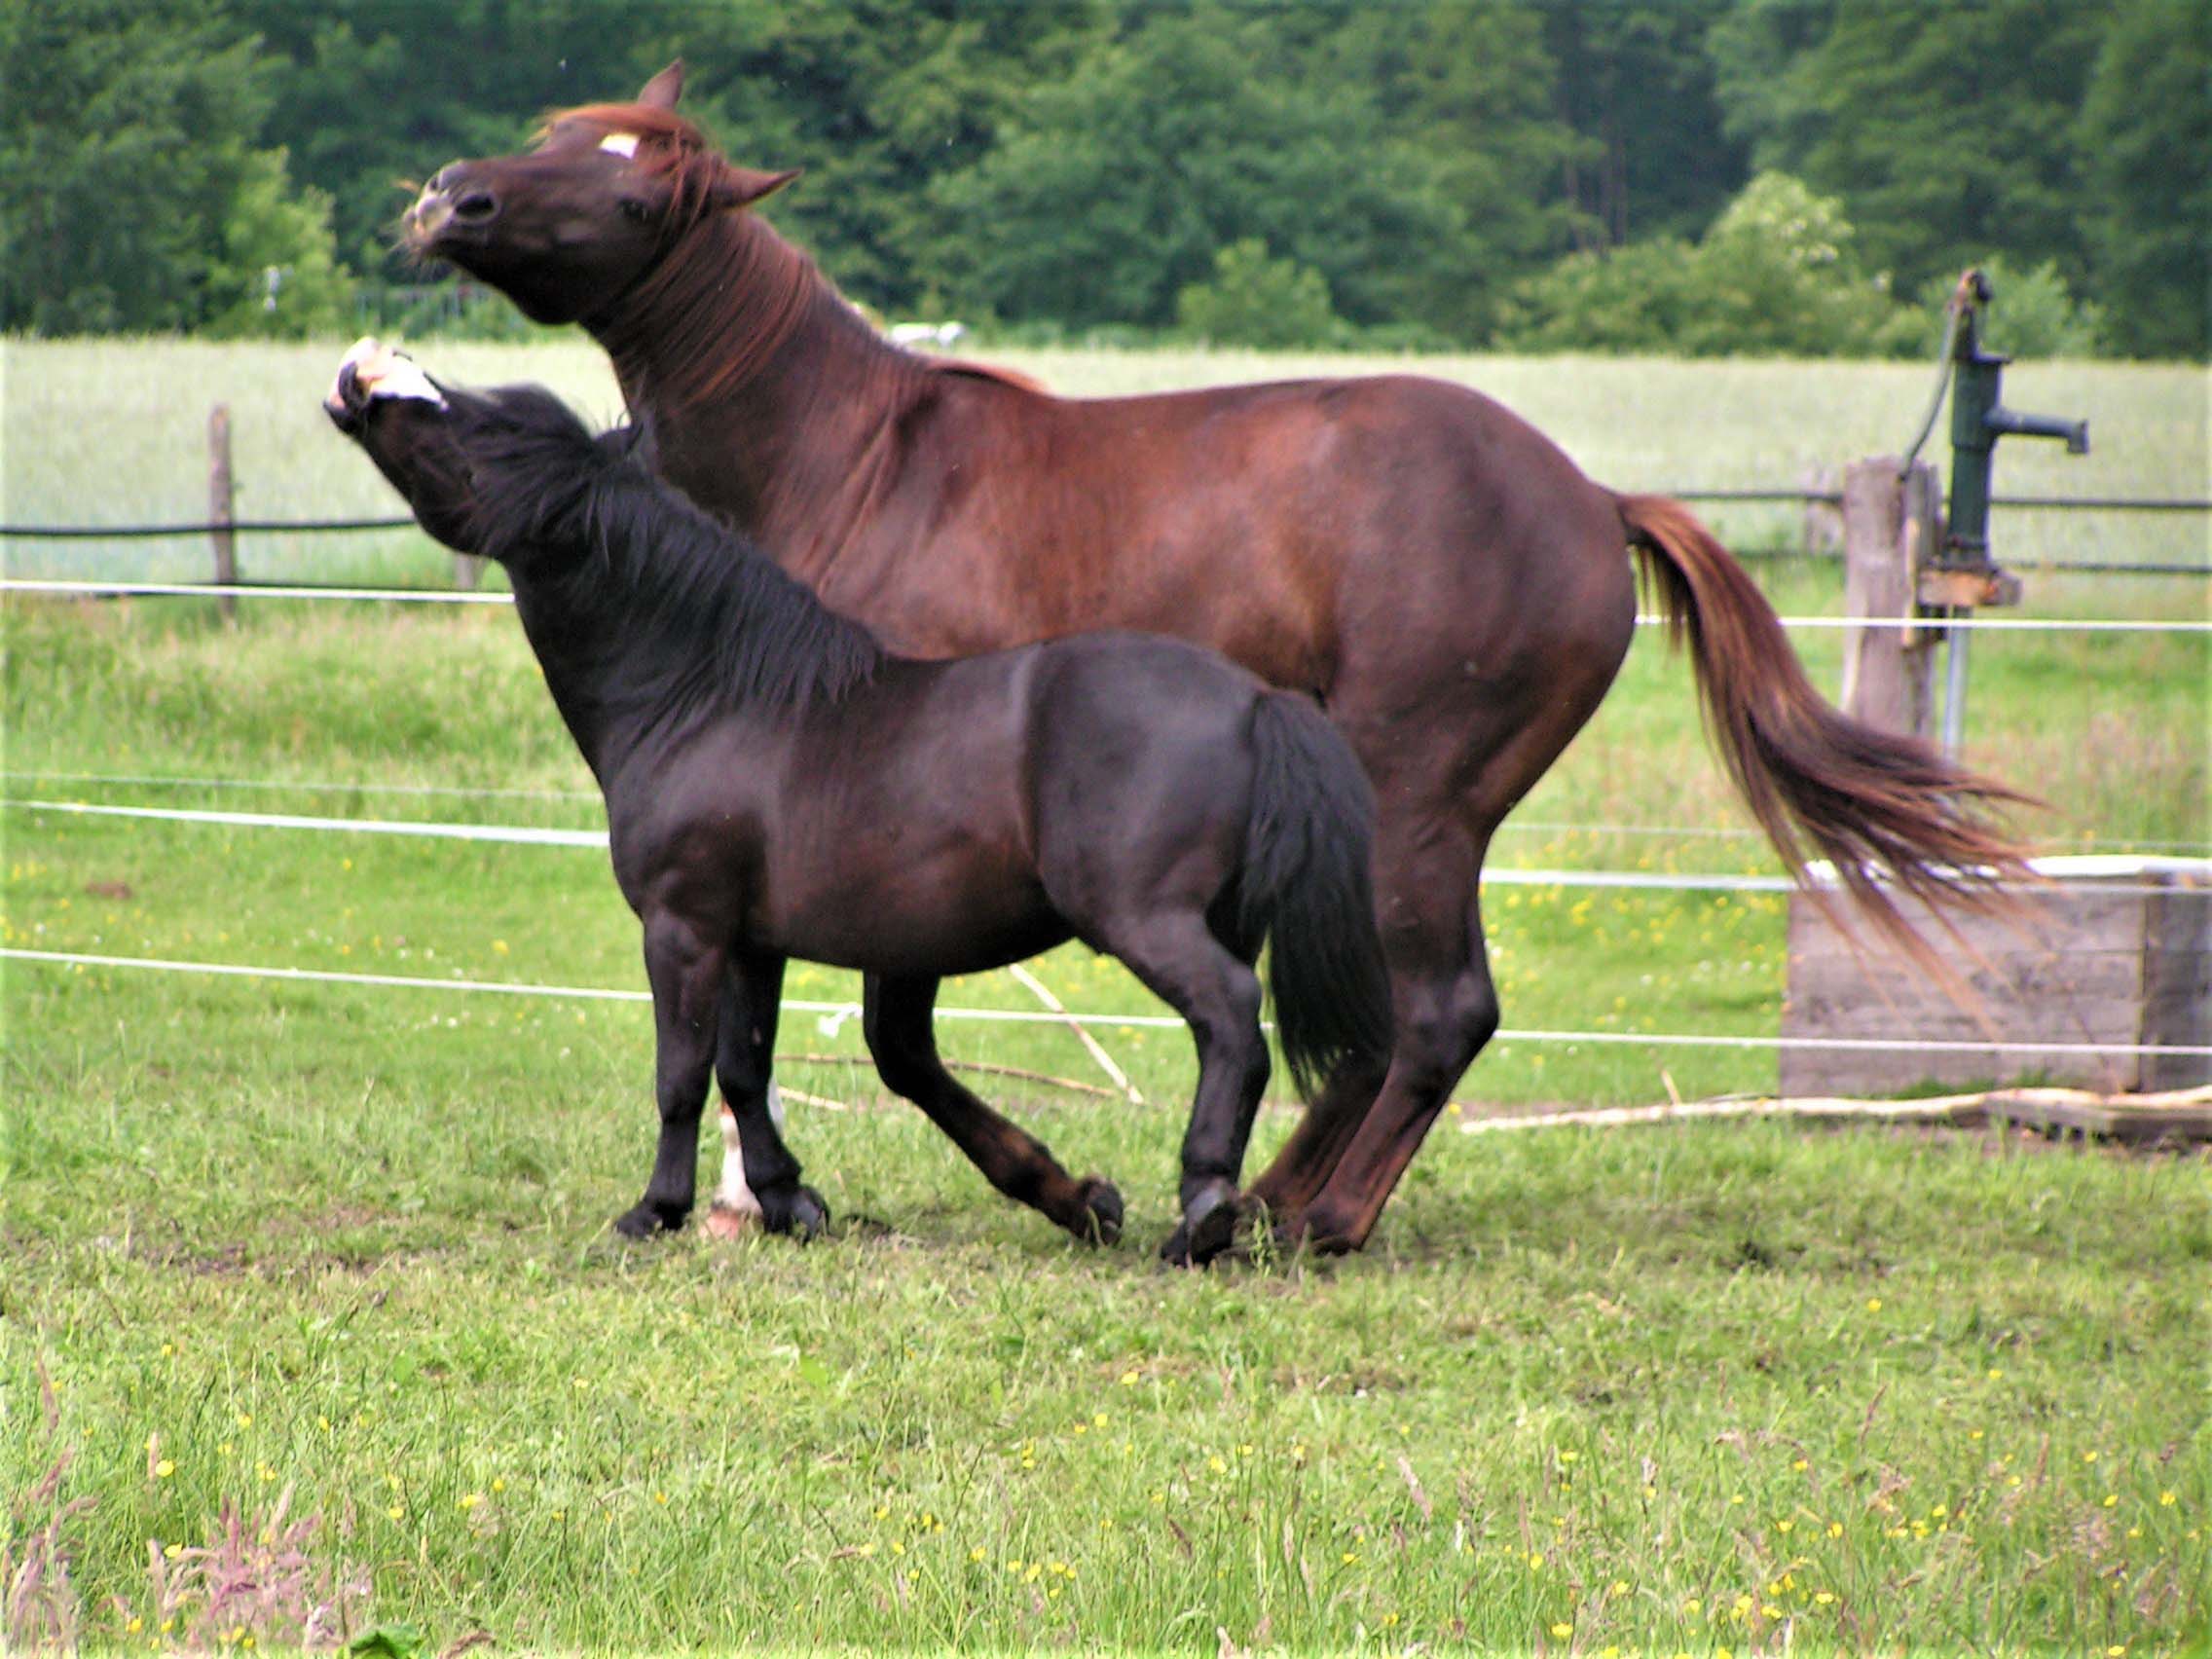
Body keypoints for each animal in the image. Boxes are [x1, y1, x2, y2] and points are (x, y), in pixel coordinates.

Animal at [324, 345, 1380, 1265]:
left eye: (482, 428)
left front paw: (655, 1211)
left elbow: (681, 1074)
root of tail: (1256, 701)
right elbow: (746, 1069)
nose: (361, 376)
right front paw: (788, 1200)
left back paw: (1202, 1209)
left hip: (1142, 918)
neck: (709, 695)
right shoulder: (752, 940)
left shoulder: (683, 925)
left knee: (1231, 1019)